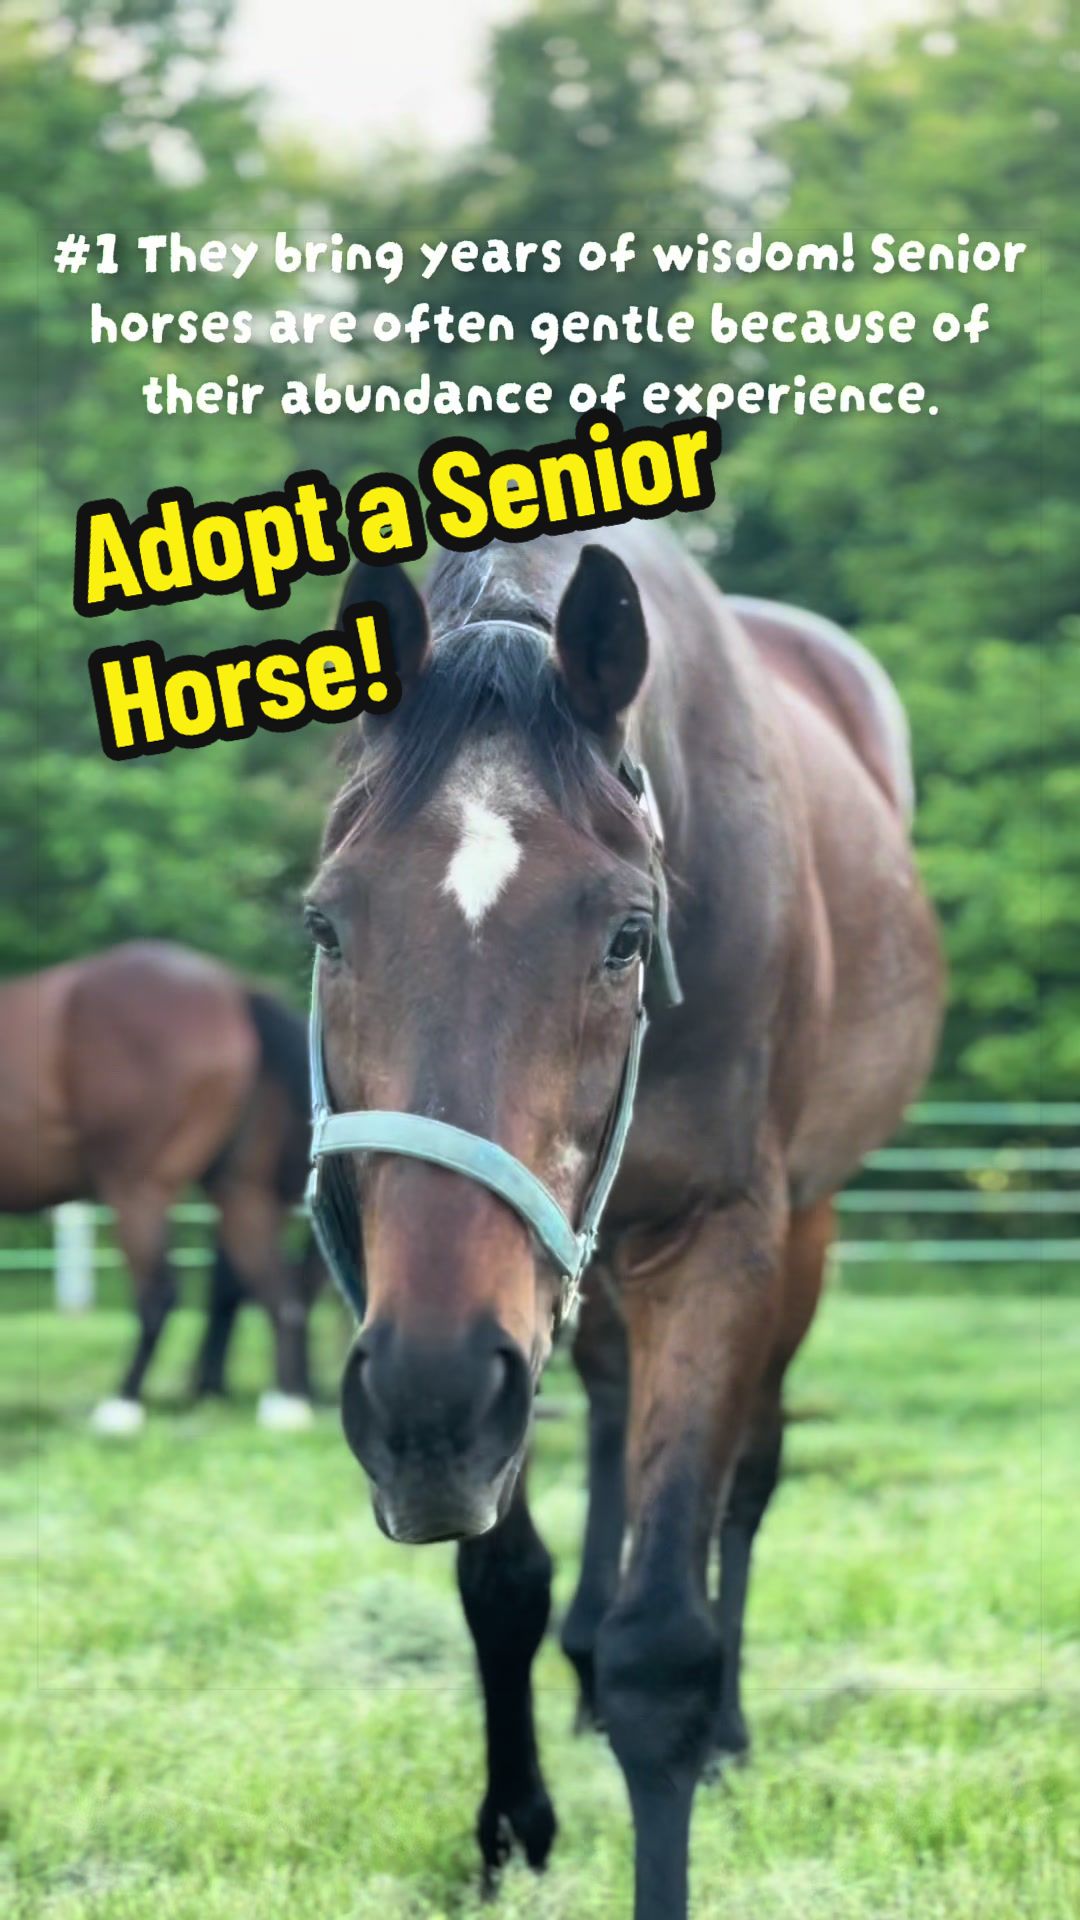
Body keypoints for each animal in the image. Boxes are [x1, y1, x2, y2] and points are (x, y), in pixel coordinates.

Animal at [0, 941, 320, 1432]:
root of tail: (232, 988)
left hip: (138, 1188)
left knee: (159, 1293)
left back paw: (122, 1407)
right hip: (241, 1191)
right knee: (277, 1288)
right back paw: (284, 1406)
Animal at [305, 527, 943, 1919]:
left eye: (627, 934)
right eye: (325, 921)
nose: (427, 1405)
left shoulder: (720, 1239)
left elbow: (667, 1644)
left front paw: (664, 1720)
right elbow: (501, 1581)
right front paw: (513, 1828)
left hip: (798, 1232)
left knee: (745, 1485)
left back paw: (730, 1733)